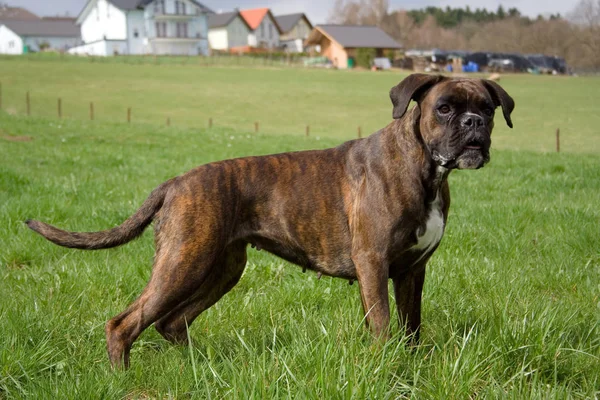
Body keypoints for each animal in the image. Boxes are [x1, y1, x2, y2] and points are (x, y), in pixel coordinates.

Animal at [27, 73, 510, 368]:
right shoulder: (373, 264)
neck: (424, 168)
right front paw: (383, 365)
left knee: (172, 322)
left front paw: (408, 366)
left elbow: (412, 328)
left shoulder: (412, 271)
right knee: (125, 324)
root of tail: (177, 182)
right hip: (184, 263)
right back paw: (122, 376)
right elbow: (383, 325)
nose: (474, 122)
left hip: (221, 269)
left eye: (487, 109)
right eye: (444, 108)